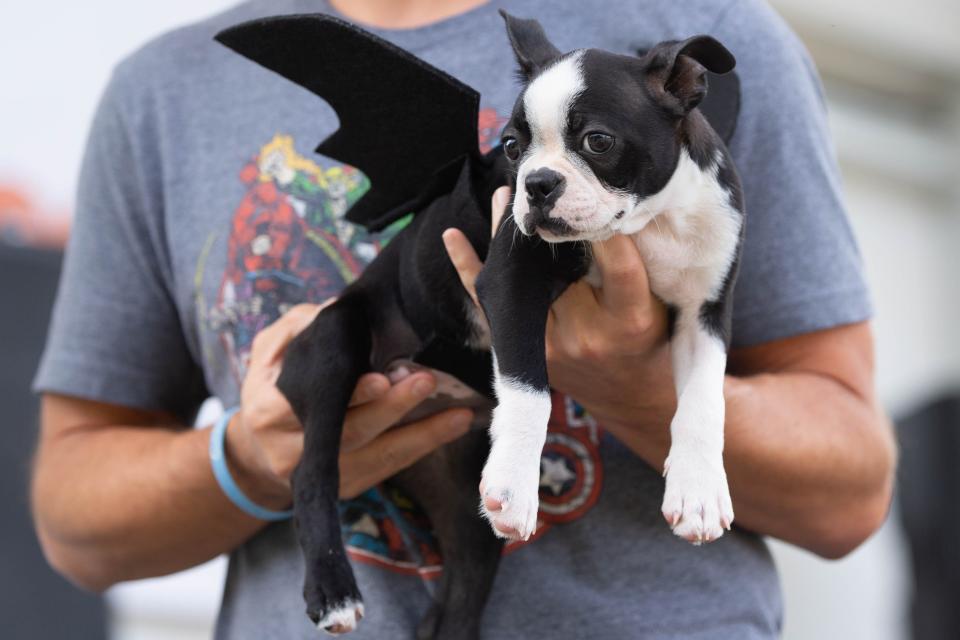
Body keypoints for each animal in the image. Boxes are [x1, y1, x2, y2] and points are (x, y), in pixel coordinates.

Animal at [476, 13, 748, 544]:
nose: (537, 182)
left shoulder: (703, 313)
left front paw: (700, 490)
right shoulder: (510, 279)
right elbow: (529, 389)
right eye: (512, 147)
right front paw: (514, 485)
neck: (651, 222)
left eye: (597, 141)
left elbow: (705, 400)